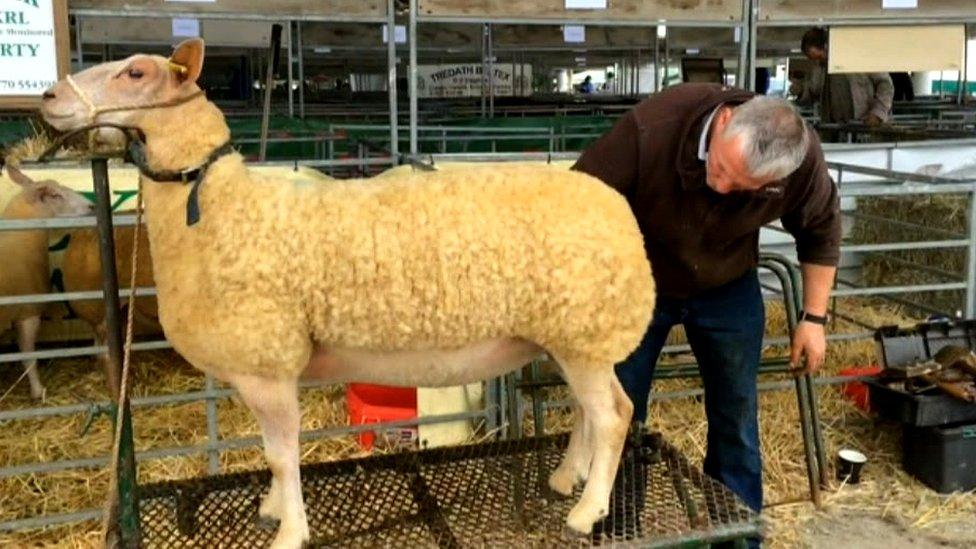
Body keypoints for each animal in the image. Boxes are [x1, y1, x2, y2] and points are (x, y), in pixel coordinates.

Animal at [43, 39, 656, 548]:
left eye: (136, 72)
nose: (48, 97)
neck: (217, 209)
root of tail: (615, 204)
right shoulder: (266, 367)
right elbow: (272, 453)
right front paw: (273, 509)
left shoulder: (269, 364)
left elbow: (282, 454)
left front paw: (289, 531)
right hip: (573, 337)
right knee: (588, 412)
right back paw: (566, 477)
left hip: (585, 334)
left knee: (614, 415)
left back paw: (586, 511)